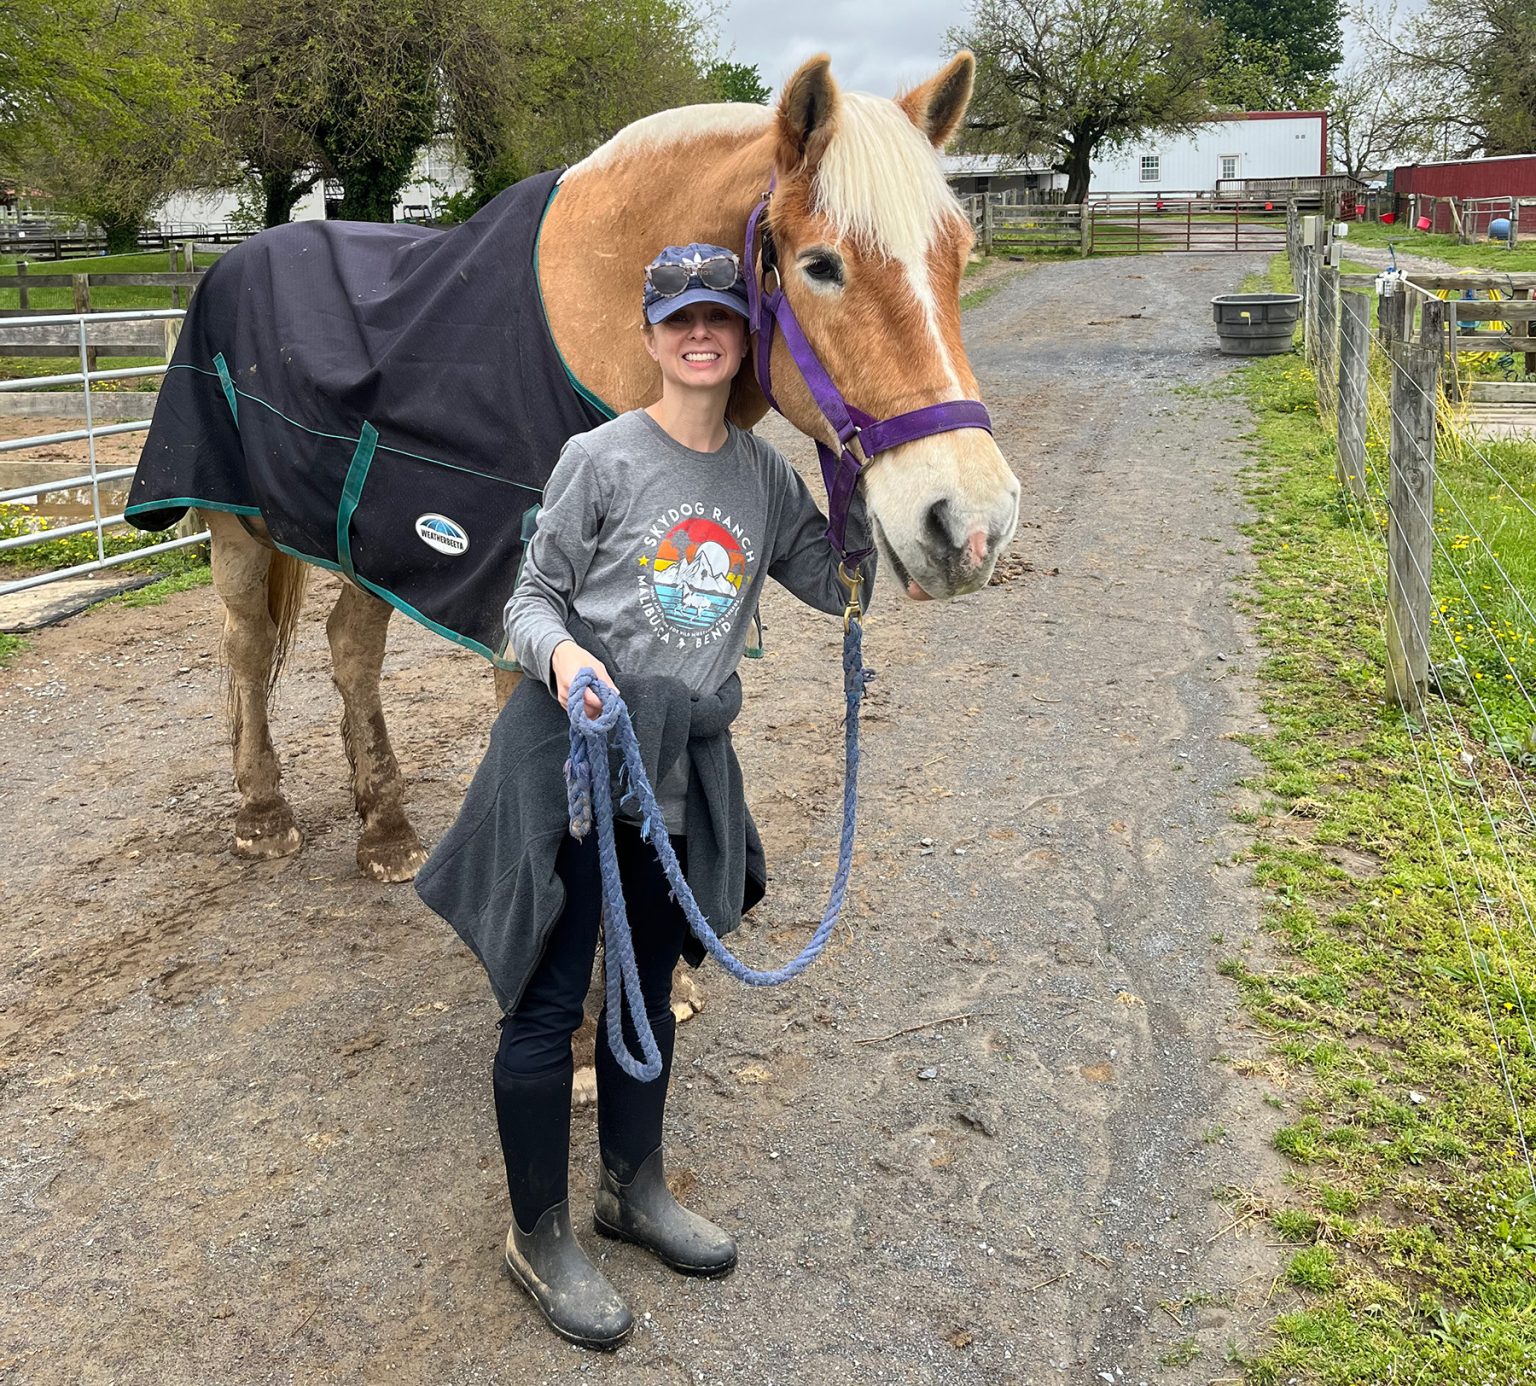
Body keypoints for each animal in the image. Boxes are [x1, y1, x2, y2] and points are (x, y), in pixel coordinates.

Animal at [126, 51, 1020, 891]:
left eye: (959, 254)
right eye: (823, 265)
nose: (972, 521)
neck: (593, 325)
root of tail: (233, 261)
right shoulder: (521, 603)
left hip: (366, 536)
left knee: (350, 646)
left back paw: (386, 832)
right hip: (238, 529)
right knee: (246, 644)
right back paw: (263, 814)